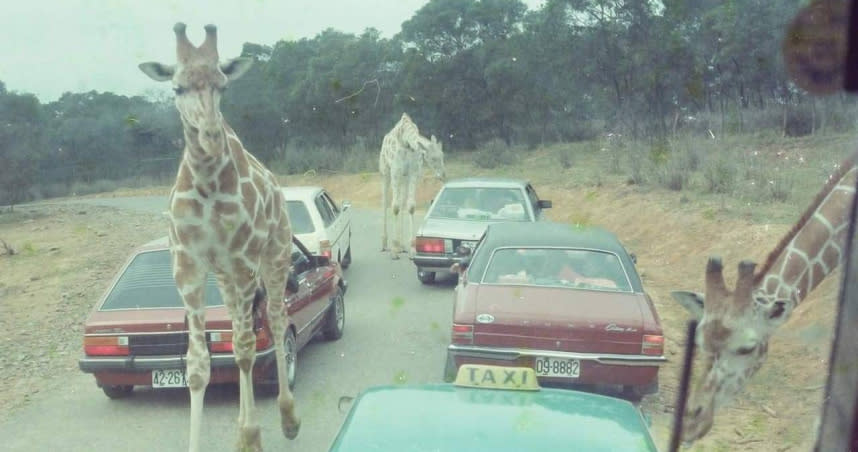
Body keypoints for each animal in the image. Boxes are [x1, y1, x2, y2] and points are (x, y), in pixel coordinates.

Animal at [139, 24, 300, 452]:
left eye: (222, 86)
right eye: (177, 88)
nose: (211, 135)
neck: (208, 181)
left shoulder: (243, 260)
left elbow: (244, 349)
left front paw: (251, 436)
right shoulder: (188, 265)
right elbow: (198, 364)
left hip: (274, 252)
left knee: (276, 320)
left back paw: (288, 418)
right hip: (225, 276)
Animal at [382, 113, 448, 260]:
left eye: (443, 155)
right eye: (433, 158)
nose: (443, 175)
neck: (406, 142)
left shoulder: (413, 173)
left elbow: (410, 206)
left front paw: (411, 249)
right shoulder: (395, 171)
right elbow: (394, 207)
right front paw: (394, 251)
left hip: (404, 178)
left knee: (402, 201)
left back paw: (402, 246)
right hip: (385, 172)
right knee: (385, 202)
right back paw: (385, 244)